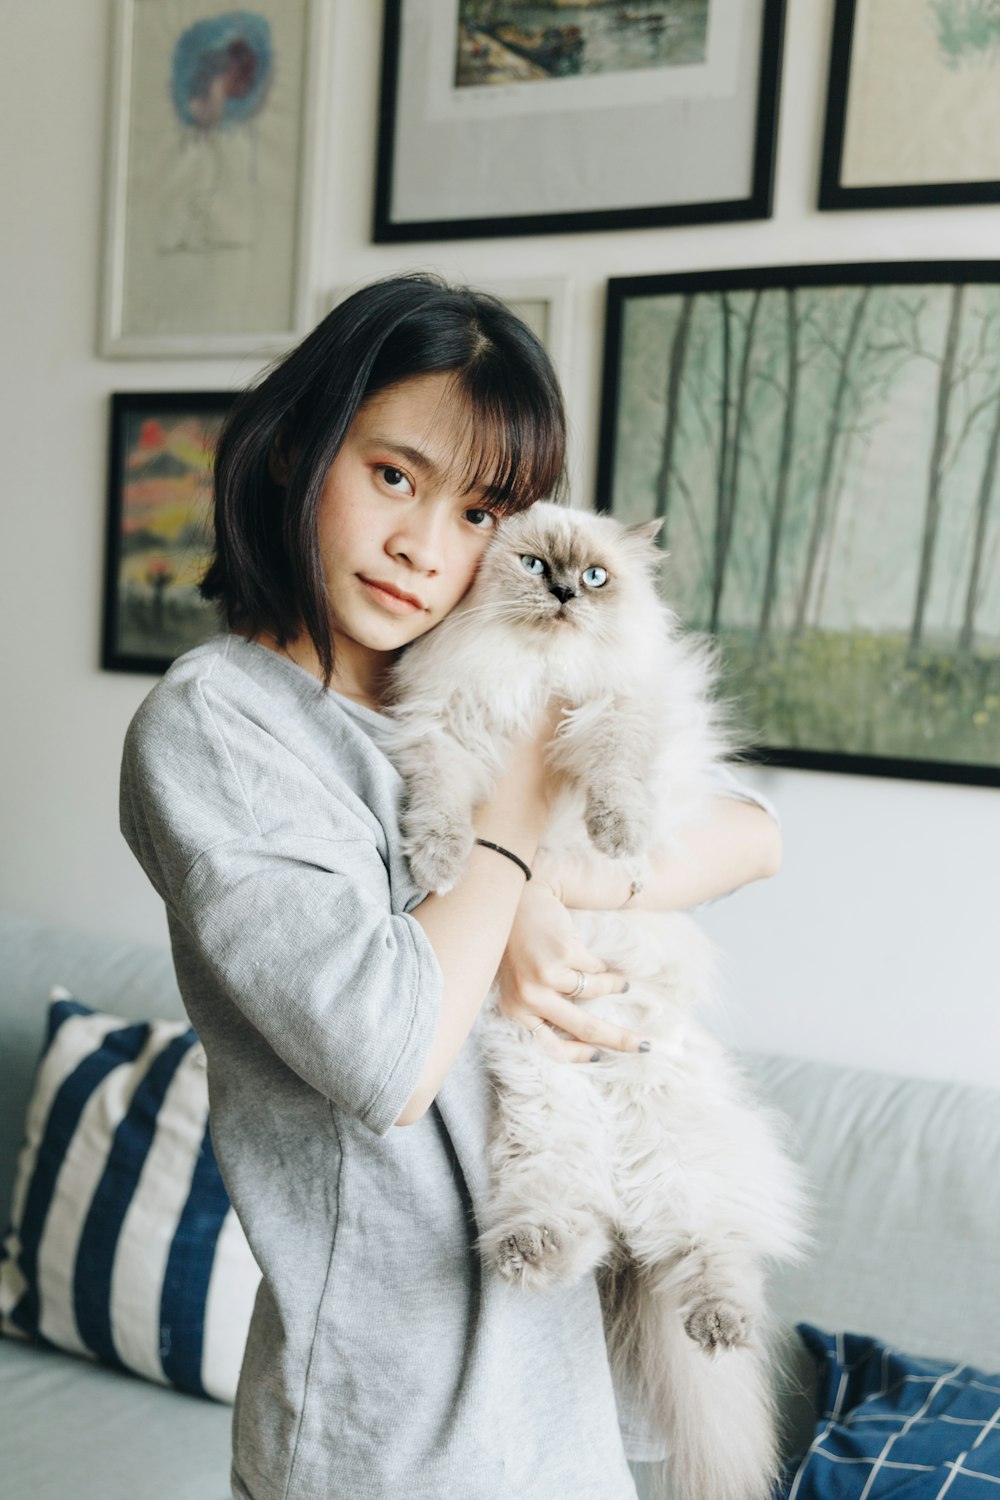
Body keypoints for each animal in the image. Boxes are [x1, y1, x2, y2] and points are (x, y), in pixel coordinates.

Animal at [379, 504, 809, 1500]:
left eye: (599, 578)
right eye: (536, 565)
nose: (569, 594)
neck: (536, 674)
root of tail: (626, 1170)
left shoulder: (618, 713)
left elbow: (616, 773)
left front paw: (618, 838)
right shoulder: (445, 731)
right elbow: (445, 810)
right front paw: (441, 864)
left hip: (685, 1168)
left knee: (710, 1255)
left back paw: (717, 1323)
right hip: (546, 1119)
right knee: (576, 1229)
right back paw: (534, 1252)